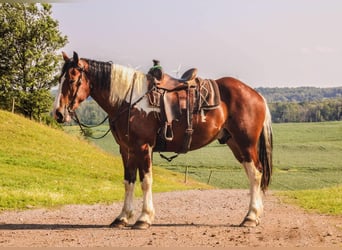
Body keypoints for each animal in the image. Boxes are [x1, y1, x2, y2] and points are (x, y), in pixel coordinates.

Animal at [53, 51, 272, 229]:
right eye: (60, 78)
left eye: (72, 79)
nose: (58, 113)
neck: (128, 100)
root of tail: (256, 94)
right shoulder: (126, 149)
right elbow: (128, 181)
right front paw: (122, 217)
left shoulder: (143, 147)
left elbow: (146, 181)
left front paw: (144, 218)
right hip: (235, 144)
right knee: (253, 173)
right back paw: (255, 215)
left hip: (246, 143)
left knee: (256, 174)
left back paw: (251, 217)